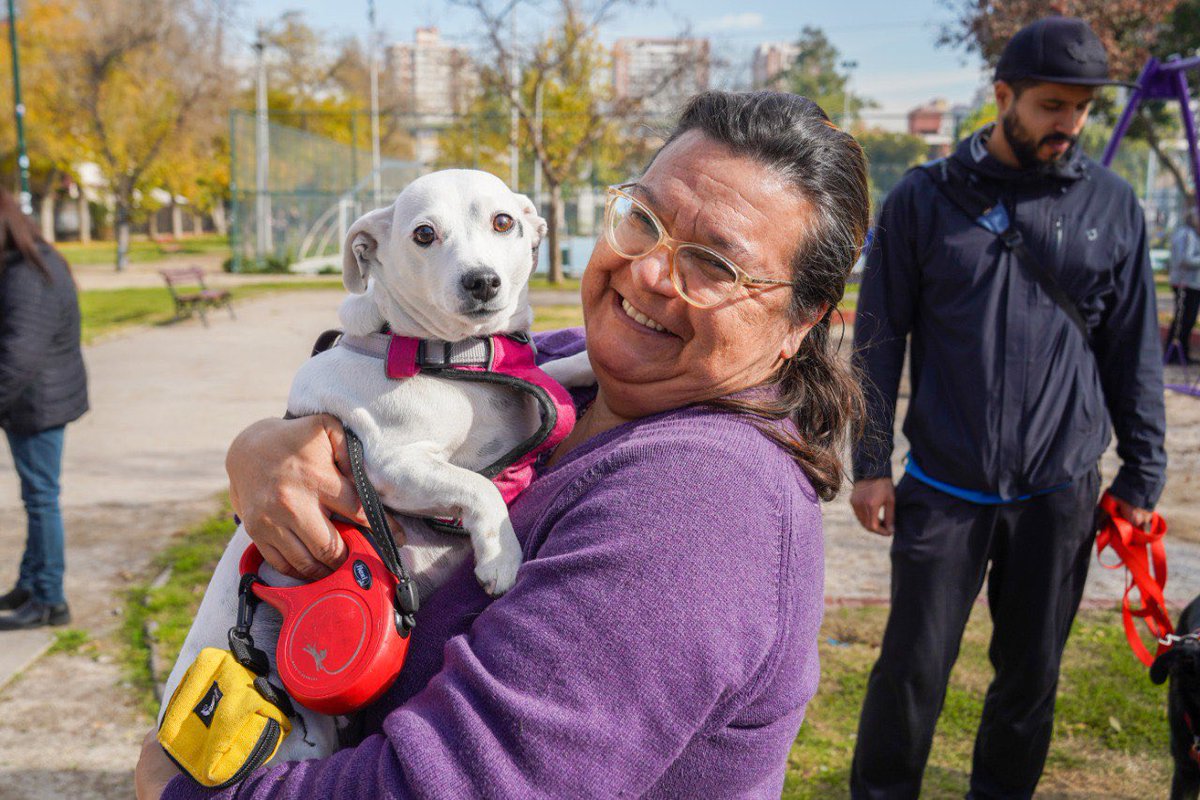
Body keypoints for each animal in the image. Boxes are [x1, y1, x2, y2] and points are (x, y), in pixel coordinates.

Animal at [159, 170, 590, 762]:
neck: (456, 360)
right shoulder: (393, 463)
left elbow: (559, 367)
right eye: (424, 234)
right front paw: (501, 555)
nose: (481, 281)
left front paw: (589, 358)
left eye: (504, 221)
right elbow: (479, 487)